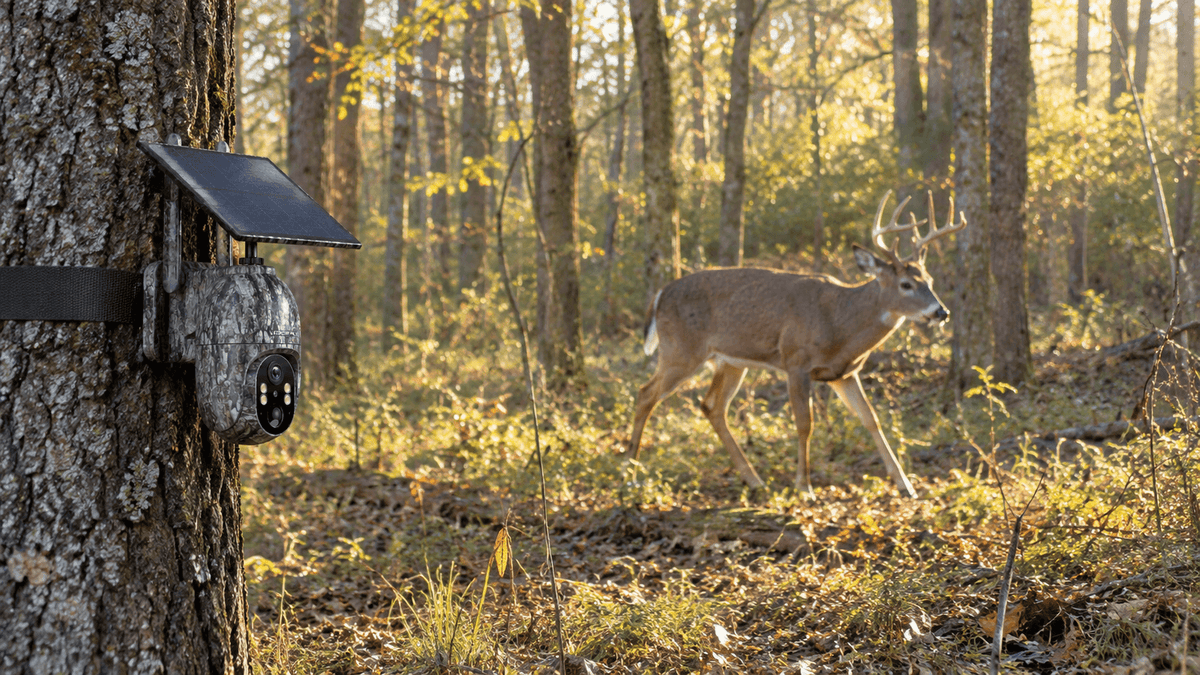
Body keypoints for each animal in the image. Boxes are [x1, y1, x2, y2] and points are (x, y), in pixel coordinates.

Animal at [626, 191, 964, 499]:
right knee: (645, 394)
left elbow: (871, 418)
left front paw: (906, 485)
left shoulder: (844, 373)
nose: (942, 312)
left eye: (929, 280)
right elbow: (805, 423)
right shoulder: (795, 362)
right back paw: (631, 472)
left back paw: (754, 480)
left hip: (731, 361)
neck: (840, 325)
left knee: (712, 406)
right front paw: (805, 487)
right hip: (681, 350)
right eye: (906, 284)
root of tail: (660, 295)